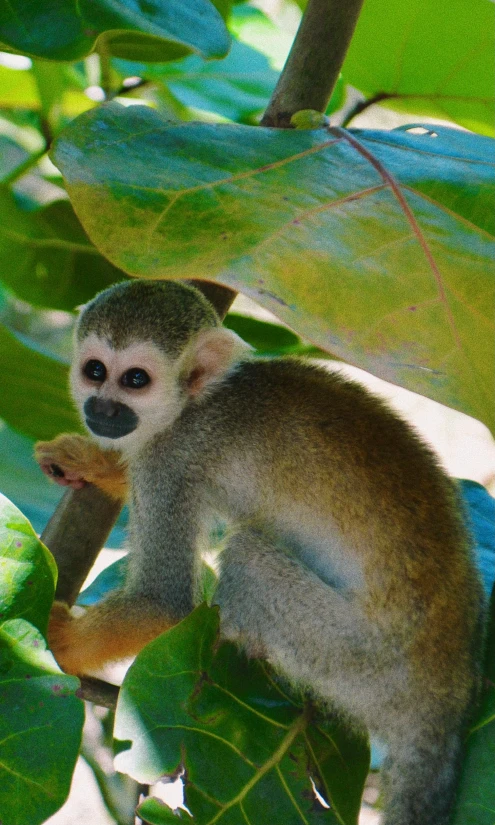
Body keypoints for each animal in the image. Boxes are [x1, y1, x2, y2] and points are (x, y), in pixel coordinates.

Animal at [36, 278, 486, 824]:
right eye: (96, 371)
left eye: (136, 379)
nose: (102, 410)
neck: (193, 406)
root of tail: (447, 695)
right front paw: (97, 464)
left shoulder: (172, 459)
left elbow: (162, 601)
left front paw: (56, 639)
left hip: (363, 660)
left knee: (248, 558)